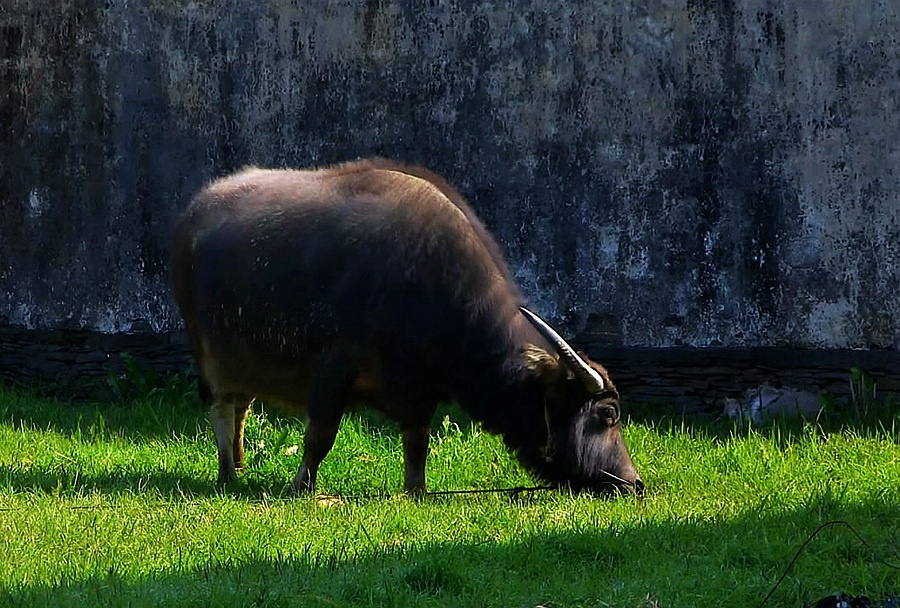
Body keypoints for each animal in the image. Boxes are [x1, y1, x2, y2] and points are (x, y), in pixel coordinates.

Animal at [172, 159, 644, 496]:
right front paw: (301, 486)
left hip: (245, 361)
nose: (634, 483)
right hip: (207, 352)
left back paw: (238, 464)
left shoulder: (420, 391)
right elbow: (320, 435)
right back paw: (227, 472)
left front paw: (416, 490)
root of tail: (193, 212)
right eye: (608, 413)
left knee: (241, 408)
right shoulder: (332, 370)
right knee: (221, 408)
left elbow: (417, 444)